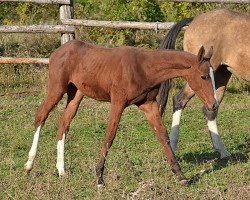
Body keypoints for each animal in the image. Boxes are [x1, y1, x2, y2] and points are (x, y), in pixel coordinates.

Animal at [23, 39, 217, 186]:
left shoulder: (148, 104)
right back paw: (29, 165)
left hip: (76, 94)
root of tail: (58, 51)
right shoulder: (118, 102)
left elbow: (163, 135)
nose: (213, 104)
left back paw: (61, 170)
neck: (143, 68)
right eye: (203, 76)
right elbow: (110, 135)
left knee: (64, 124)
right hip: (56, 89)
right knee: (41, 116)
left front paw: (181, 175)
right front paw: (99, 177)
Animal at [159, 8, 249, 159]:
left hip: (220, 75)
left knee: (210, 109)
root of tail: (195, 19)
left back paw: (222, 151)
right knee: (179, 99)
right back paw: (173, 148)